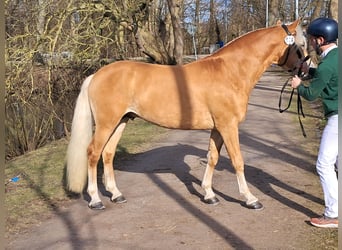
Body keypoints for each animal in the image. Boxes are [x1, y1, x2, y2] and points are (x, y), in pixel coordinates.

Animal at [65, 19, 306, 210]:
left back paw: (116, 194)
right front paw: (250, 198)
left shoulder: (218, 128)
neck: (230, 71)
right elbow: (238, 161)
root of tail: (97, 74)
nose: (306, 71)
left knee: (108, 154)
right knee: (93, 153)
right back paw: (96, 200)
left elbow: (212, 158)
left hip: (120, 122)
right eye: (301, 45)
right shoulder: (228, 126)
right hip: (106, 123)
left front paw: (209, 195)